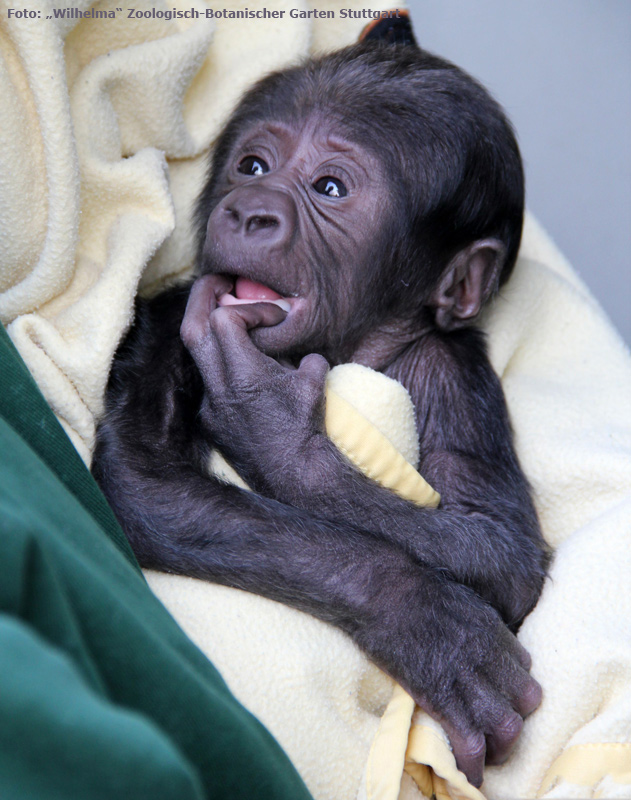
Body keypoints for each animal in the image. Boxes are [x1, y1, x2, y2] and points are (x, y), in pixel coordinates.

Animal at [91, 40, 552, 784]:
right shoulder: (169, 316)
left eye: (330, 188)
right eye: (253, 165)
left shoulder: (454, 371)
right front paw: (419, 616)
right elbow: (145, 477)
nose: (249, 209)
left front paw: (271, 430)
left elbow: (500, 545)